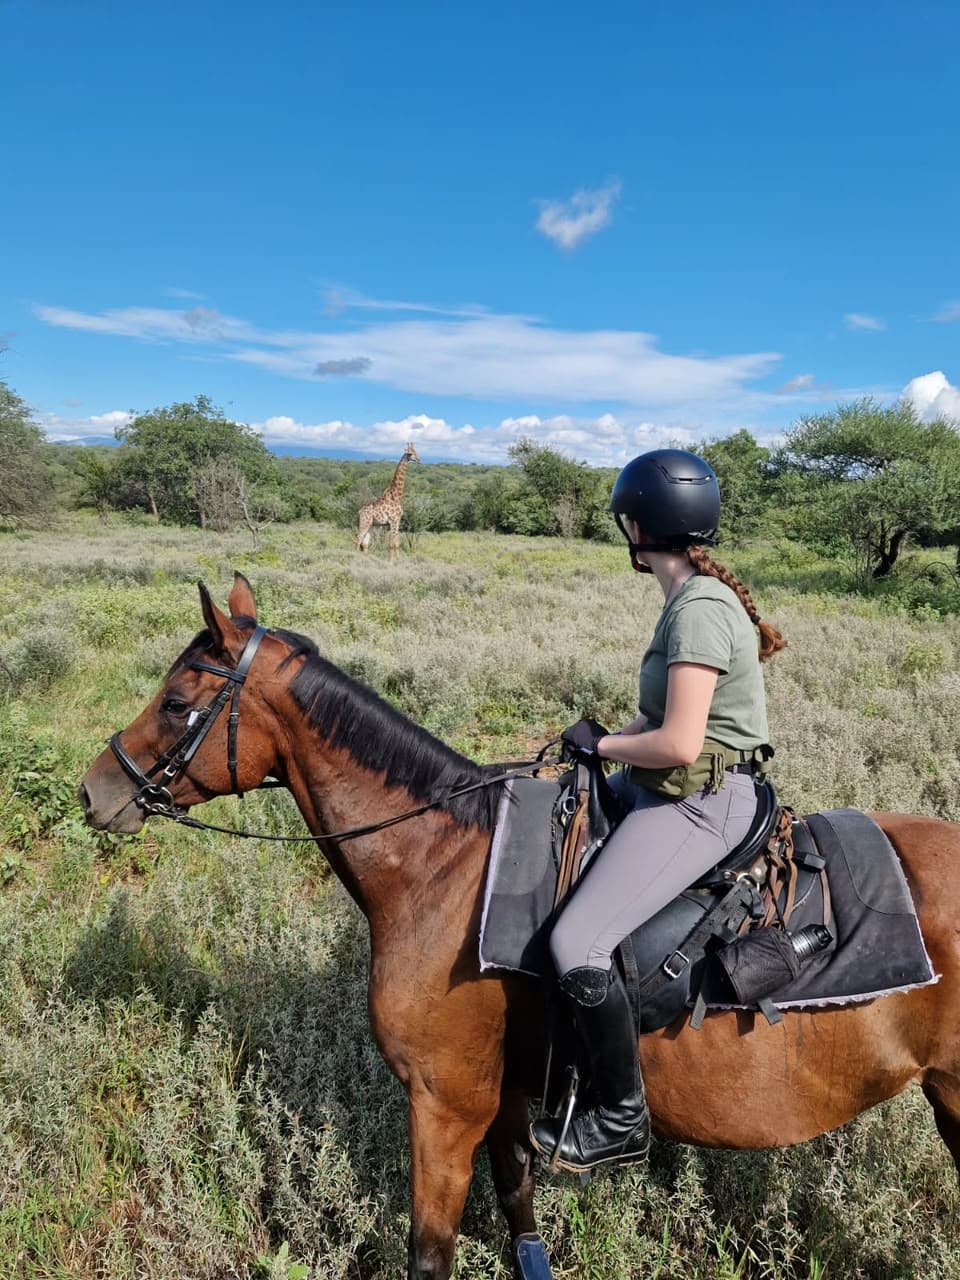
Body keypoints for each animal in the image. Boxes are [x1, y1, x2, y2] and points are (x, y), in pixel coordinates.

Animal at [78, 575, 960, 1280]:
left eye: (177, 703)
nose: (95, 791)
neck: (443, 863)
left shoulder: (444, 1105)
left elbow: (430, 1252)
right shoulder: (503, 1099)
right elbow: (519, 1212)